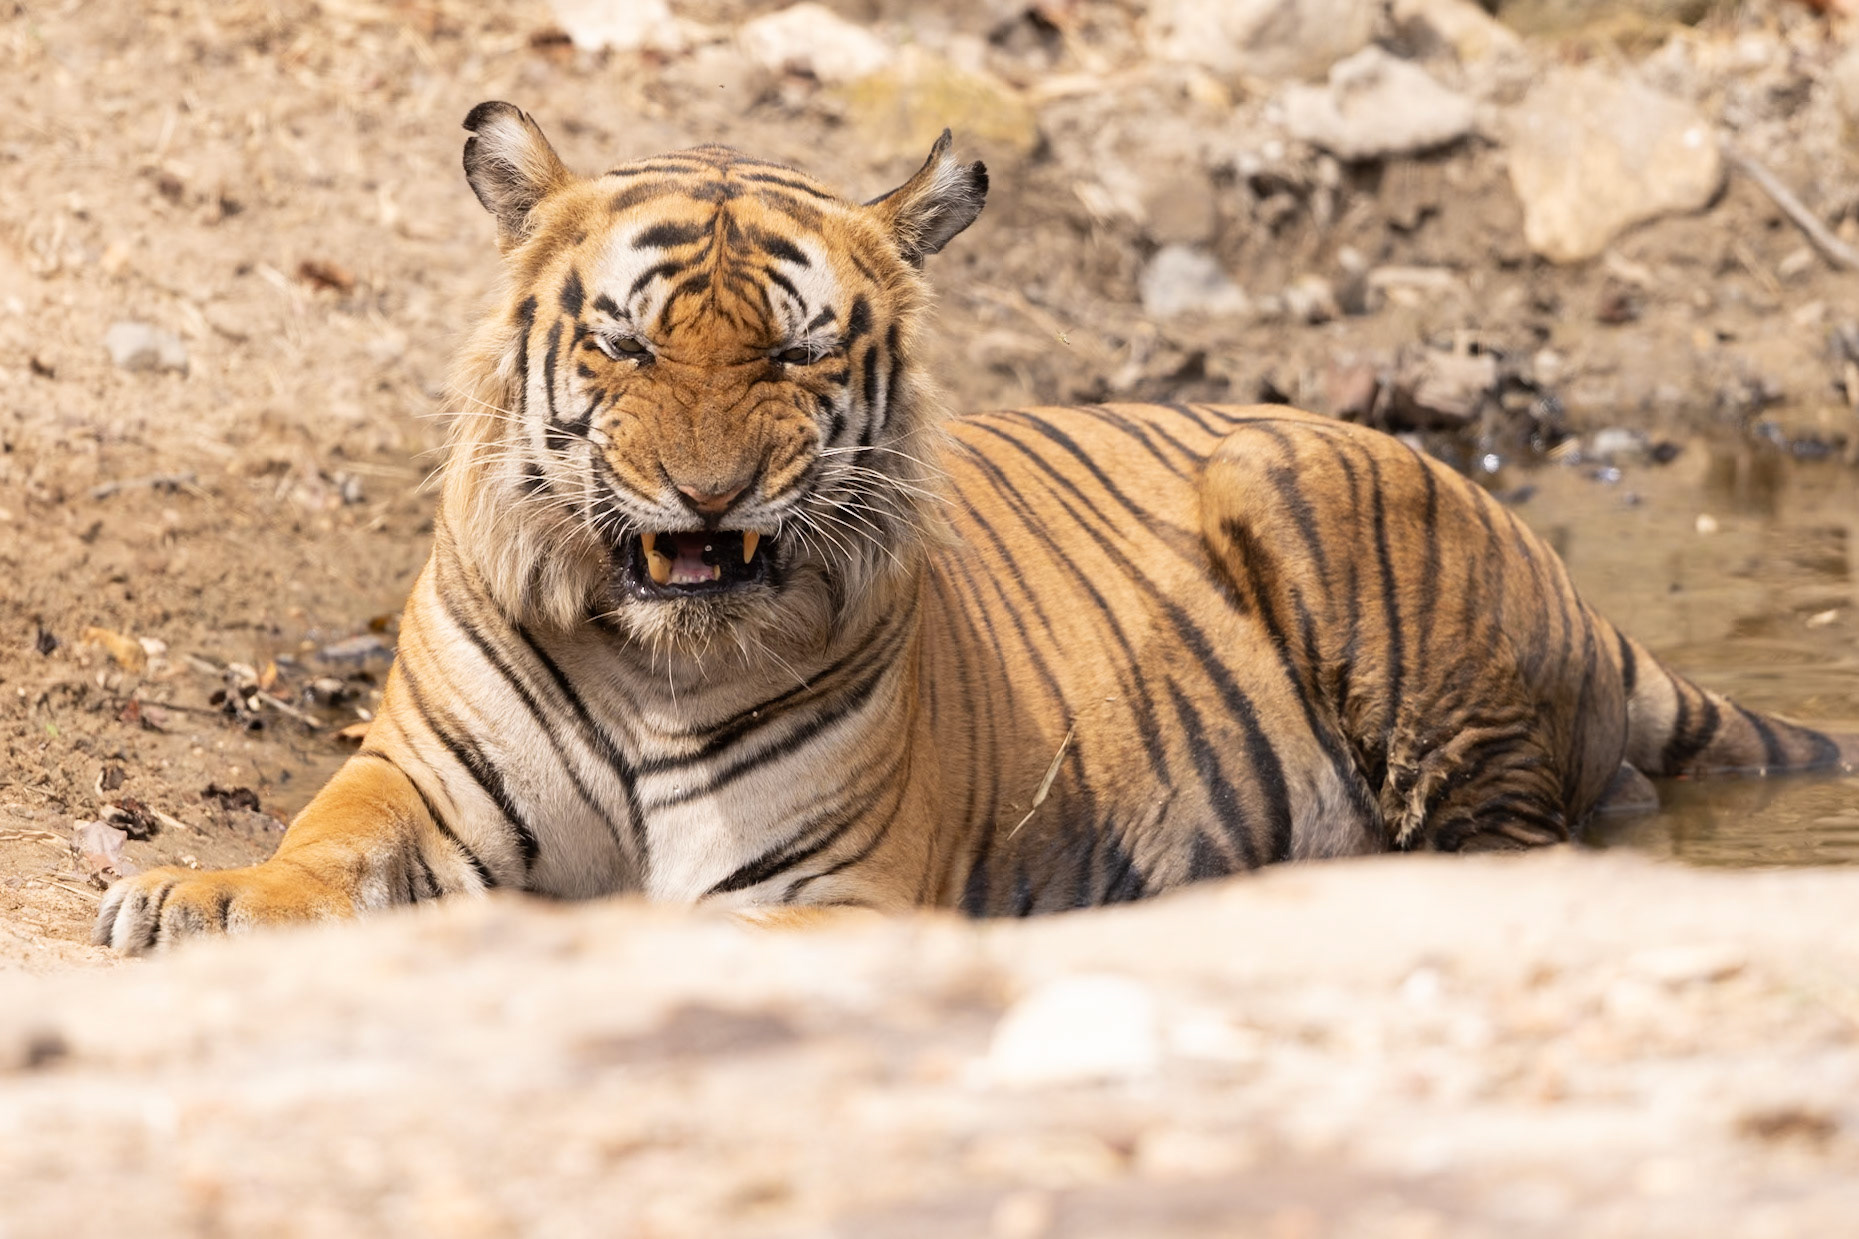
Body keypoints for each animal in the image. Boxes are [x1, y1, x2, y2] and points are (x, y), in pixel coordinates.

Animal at [96, 102, 1857, 952]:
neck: (655, 659)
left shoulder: (828, 886)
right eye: (629, 346)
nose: (706, 498)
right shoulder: (422, 780)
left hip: (1339, 545)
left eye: (795, 354)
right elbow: (322, 843)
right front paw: (200, 894)